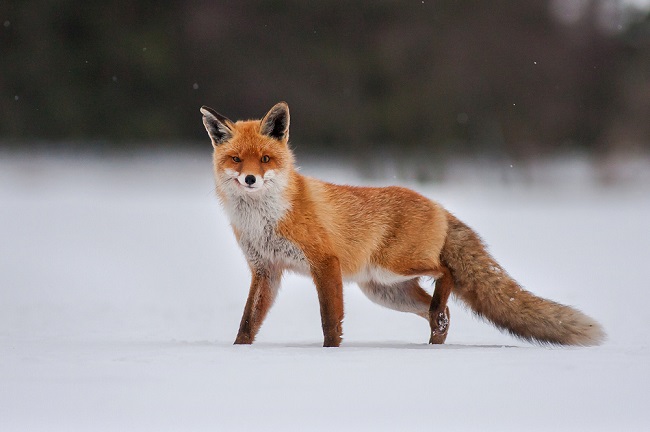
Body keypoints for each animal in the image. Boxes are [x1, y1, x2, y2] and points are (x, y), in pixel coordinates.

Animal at [200, 102, 605, 347]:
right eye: (236, 159)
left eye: (265, 159)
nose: (250, 179)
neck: (263, 218)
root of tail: (439, 205)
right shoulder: (266, 269)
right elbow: (248, 322)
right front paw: (238, 353)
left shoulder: (325, 263)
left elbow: (330, 321)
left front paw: (330, 354)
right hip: (385, 290)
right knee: (441, 311)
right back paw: (435, 341)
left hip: (392, 267)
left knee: (447, 275)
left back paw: (439, 316)